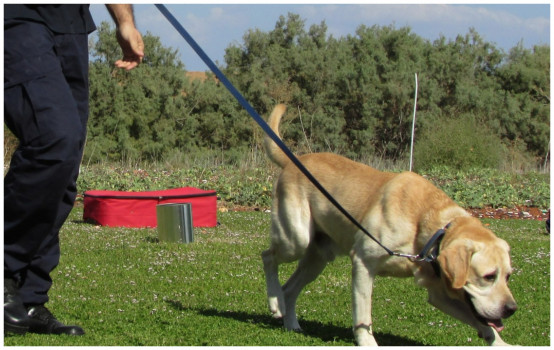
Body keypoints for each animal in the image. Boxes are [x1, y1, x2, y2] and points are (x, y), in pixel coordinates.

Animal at [260, 103, 516, 344]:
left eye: (508, 276)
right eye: (489, 276)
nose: (511, 309)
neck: (425, 225)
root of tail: (294, 161)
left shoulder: (439, 292)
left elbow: (482, 323)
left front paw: (502, 343)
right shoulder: (363, 262)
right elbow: (363, 316)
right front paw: (367, 343)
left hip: (318, 257)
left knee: (290, 289)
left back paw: (289, 320)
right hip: (296, 239)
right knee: (268, 256)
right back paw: (274, 300)